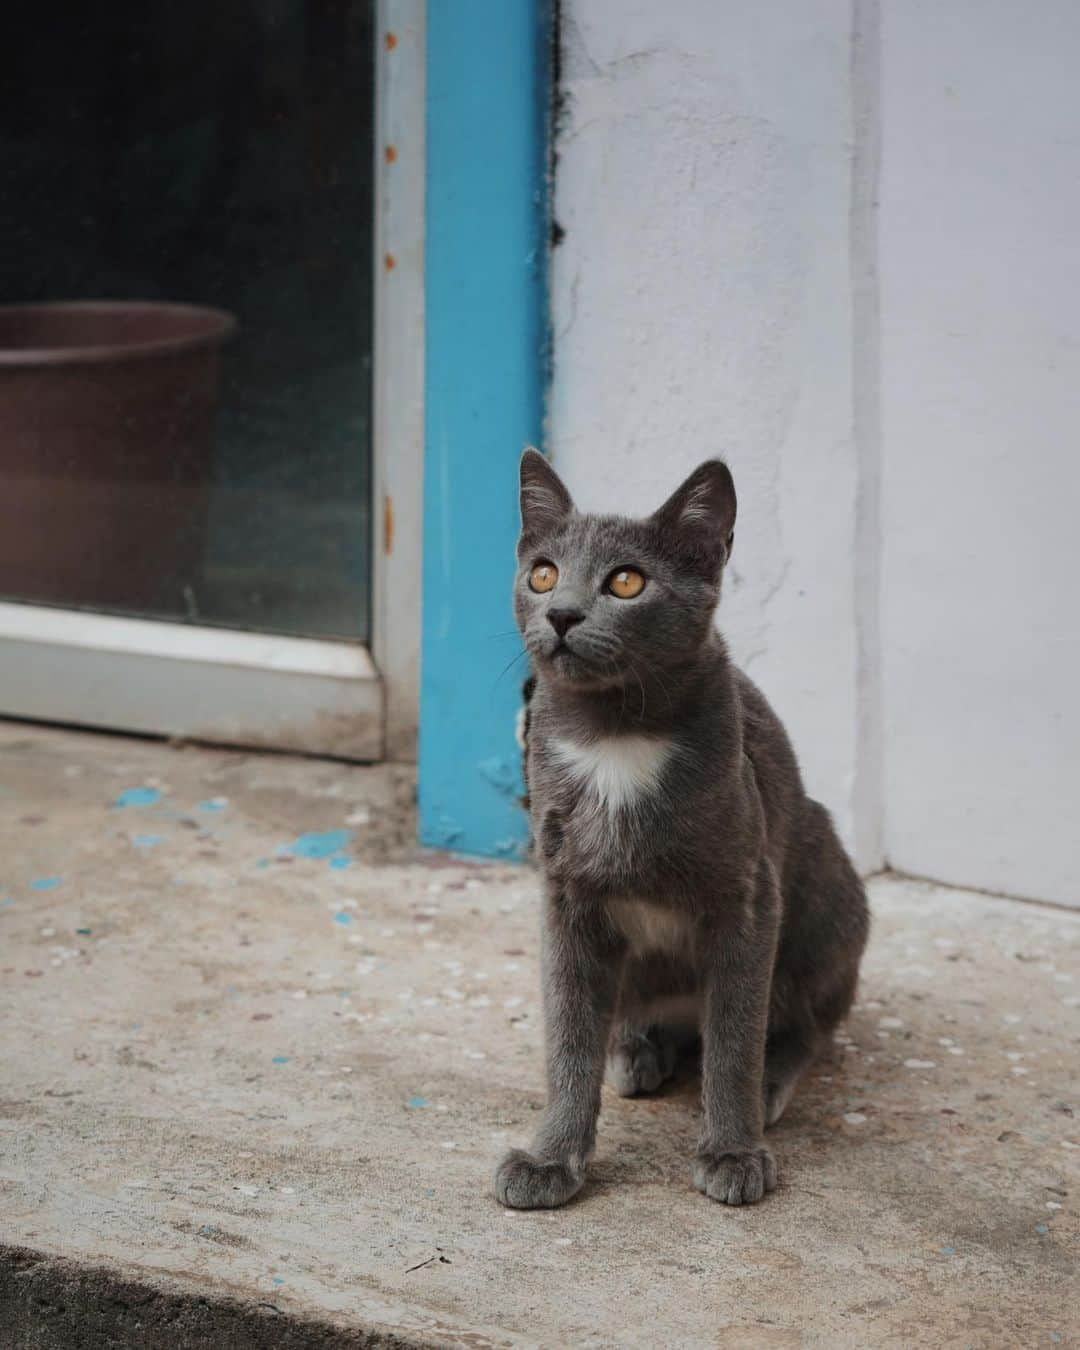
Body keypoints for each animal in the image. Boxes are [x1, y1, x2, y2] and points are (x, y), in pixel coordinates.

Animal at [496, 448, 869, 1209]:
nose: (562, 613)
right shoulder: (565, 897)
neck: (614, 740)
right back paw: (636, 1048)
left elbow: (734, 1036)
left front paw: (733, 1150)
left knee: (807, 1019)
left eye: (627, 581)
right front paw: (551, 1159)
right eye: (542, 573)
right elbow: (568, 1032)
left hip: (826, 887)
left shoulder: (747, 898)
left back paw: (768, 1079)